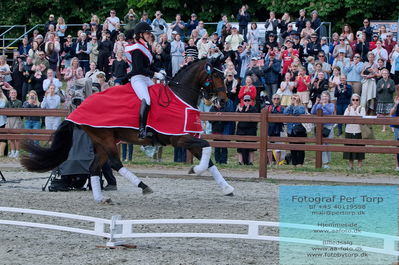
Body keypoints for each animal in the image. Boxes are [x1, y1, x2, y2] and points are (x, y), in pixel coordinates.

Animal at [21, 56, 234, 201]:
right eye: (215, 74)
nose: (223, 100)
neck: (180, 95)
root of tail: (79, 107)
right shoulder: (179, 139)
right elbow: (207, 147)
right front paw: (195, 170)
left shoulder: (188, 139)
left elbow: (209, 158)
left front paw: (227, 188)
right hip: (105, 138)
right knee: (115, 163)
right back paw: (143, 186)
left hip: (101, 141)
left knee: (95, 167)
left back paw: (101, 198)